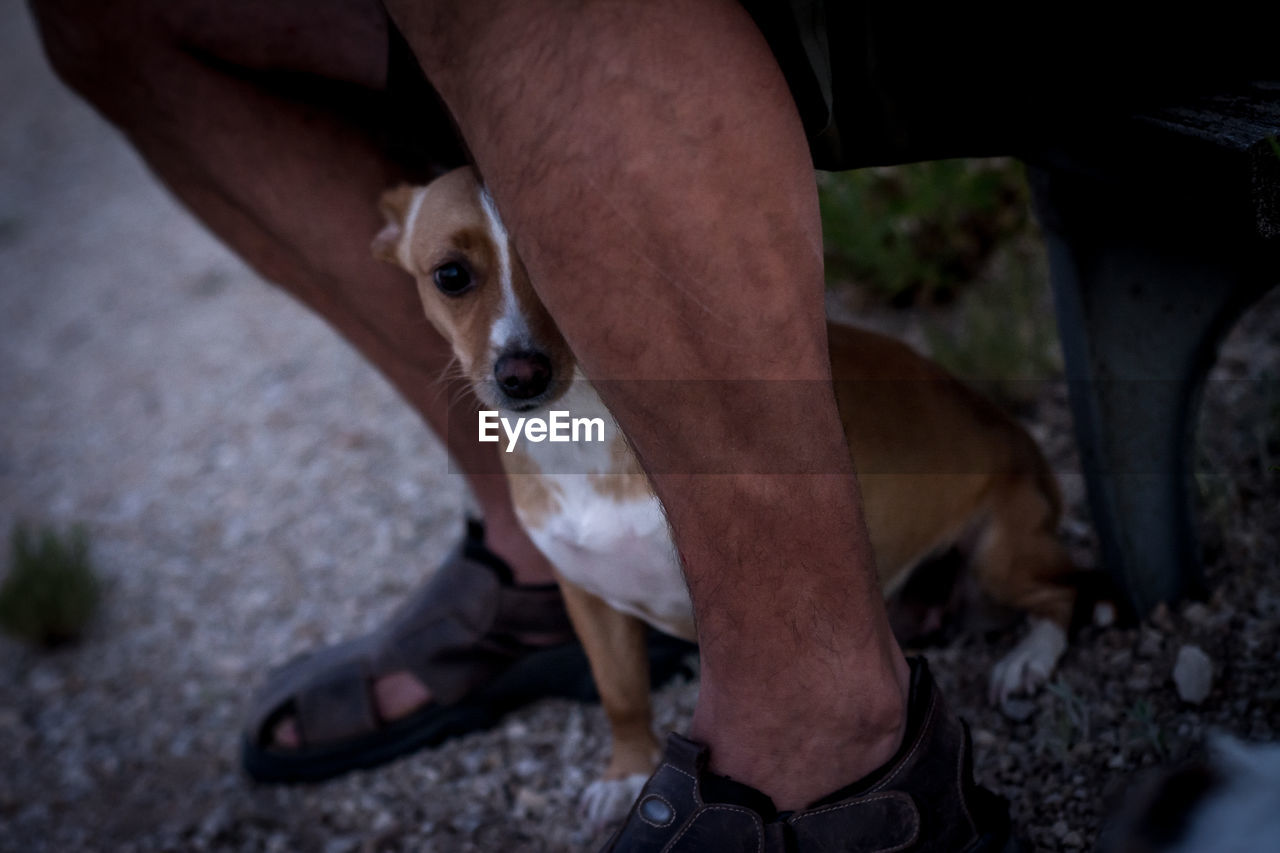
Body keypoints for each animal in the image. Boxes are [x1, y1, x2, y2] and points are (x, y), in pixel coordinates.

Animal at [373, 163, 1090, 819]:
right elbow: (620, 692)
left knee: (1067, 593)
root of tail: (1023, 441)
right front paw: (624, 772)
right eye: (451, 275)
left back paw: (1028, 658)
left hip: (1000, 557)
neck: (578, 432)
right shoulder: (587, 597)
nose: (522, 373)